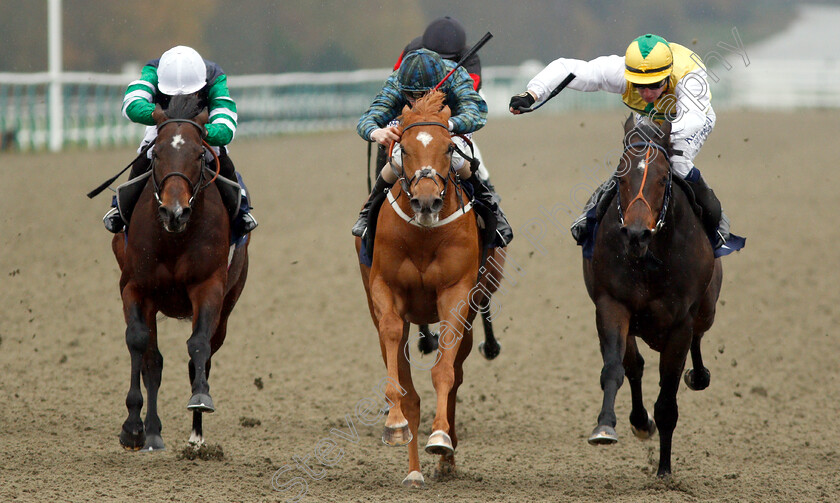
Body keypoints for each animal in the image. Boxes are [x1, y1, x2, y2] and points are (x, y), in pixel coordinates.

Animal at [111, 94, 249, 452]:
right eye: (156, 153)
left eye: (200, 153)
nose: (175, 212)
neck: (173, 237)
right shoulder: (135, 287)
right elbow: (139, 344)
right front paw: (133, 427)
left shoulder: (209, 286)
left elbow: (198, 345)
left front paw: (200, 398)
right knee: (153, 360)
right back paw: (152, 433)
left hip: (229, 303)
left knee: (204, 353)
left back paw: (196, 436)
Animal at [354, 90, 506, 488]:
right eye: (403, 148)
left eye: (448, 147)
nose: (425, 201)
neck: (423, 236)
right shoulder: (384, 291)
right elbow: (400, 369)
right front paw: (395, 425)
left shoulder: (456, 294)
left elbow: (444, 372)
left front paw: (440, 439)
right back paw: (414, 471)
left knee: (455, 374)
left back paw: (445, 456)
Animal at [584, 115, 720, 480]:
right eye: (620, 175)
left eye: (662, 178)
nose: (635, 234)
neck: (649, 258)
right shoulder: (612, 305)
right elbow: (615, 368)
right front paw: (606, 427)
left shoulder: (680, 324)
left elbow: (668, 403)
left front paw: (664, 472)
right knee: (634, 366)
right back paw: (639, 421)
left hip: (707, 309)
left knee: (699, 338)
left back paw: (698, 376)